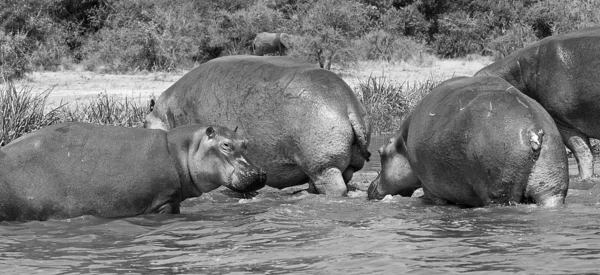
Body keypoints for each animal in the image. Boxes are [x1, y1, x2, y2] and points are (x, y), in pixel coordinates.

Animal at [0, 123, 264, 222]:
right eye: (225, 145)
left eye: (246, 142)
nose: (259, 173)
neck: (183, 150)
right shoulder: (161, 202)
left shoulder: (172, 200)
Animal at [145, 55, 370, 196]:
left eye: (144, 123)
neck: (164, 115)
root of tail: (348, 104)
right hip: (341, 164)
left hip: (323, 166)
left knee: (335, 188)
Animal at [368, 76, 568, 208]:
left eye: (380, 152)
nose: (370, 186)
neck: (404, 142)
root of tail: (534, 129)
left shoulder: (431, 188)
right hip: (552, 185)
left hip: (499, 192)